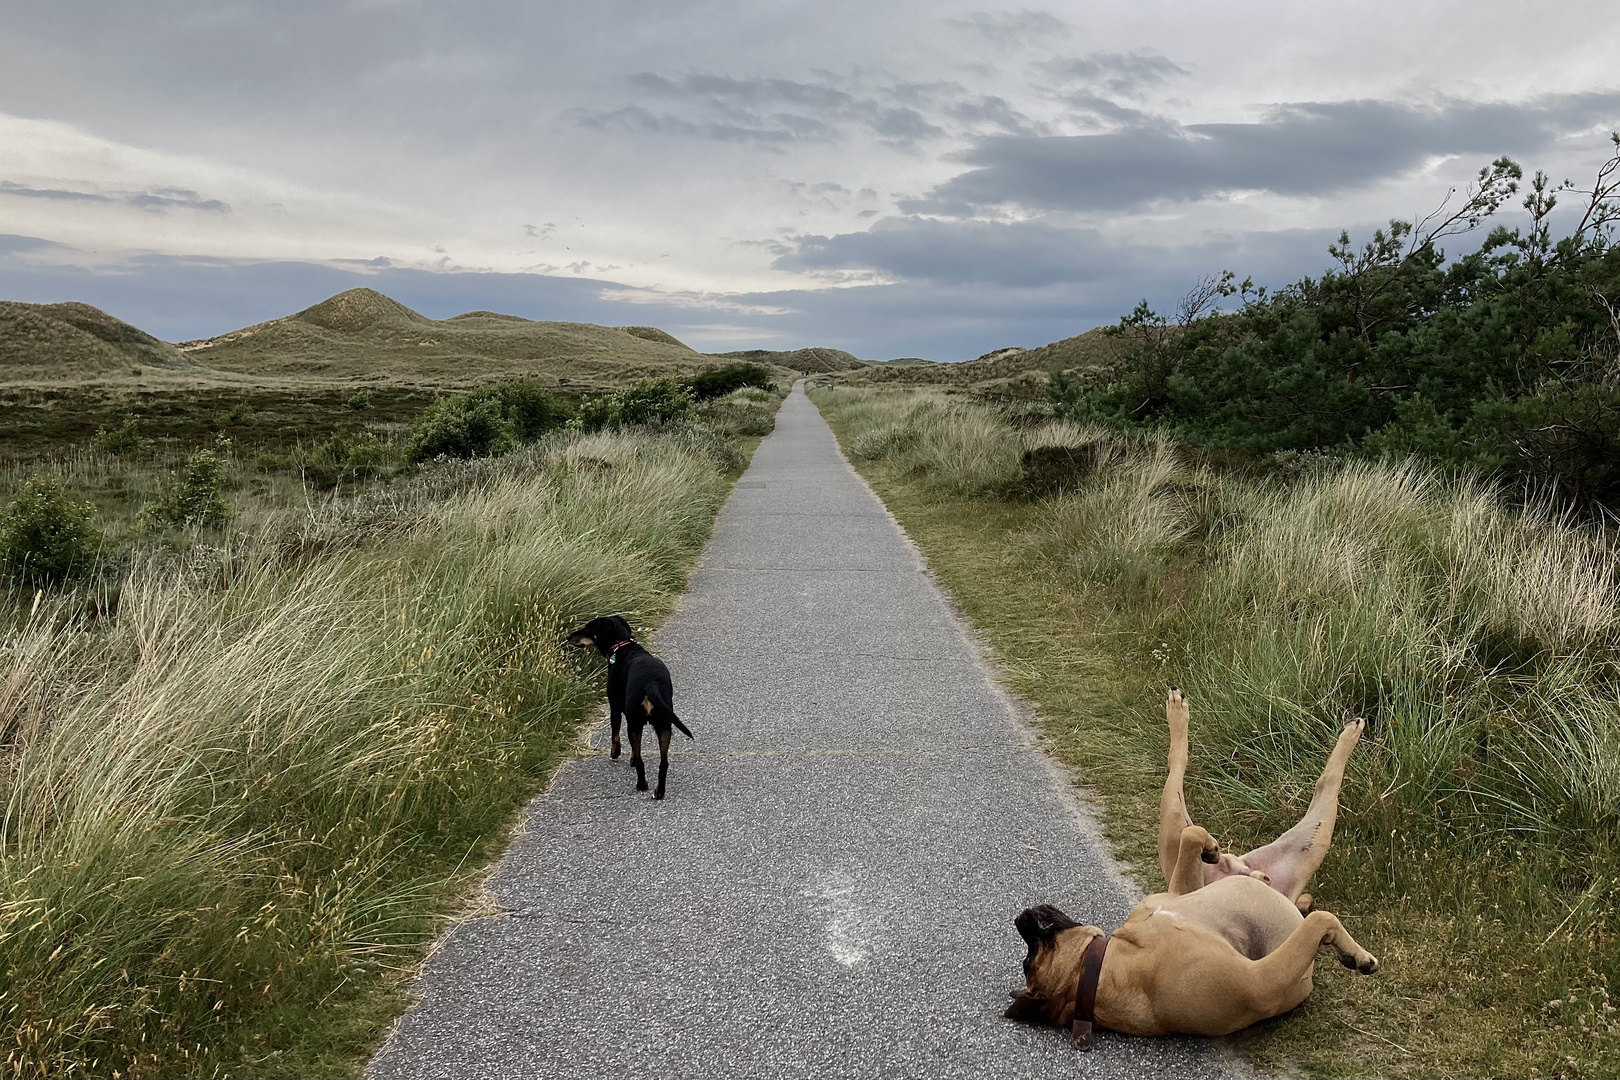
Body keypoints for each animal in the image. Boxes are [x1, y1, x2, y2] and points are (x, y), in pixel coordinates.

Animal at [563, 615, 690, 803]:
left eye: (587, 629)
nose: (568, 636)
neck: (622, 647)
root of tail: (650, 683)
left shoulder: (615, 708)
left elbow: (615, 735)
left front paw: (615, 753)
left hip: (635, 723)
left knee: (639, 760)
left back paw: (641, 785)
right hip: (664, 725)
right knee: (663, 763)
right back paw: (659, 792)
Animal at [1004, 693, 1373, 1049]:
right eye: (1028, 960)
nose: (1022, 915)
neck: (1108, 968)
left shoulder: (1178, 891)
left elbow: (1193, 835)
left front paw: (1209, 846)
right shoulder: (1260, 982)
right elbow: (1322, 920)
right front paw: (1354, 953)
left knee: (1186, 797)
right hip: (1302, 838)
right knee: (1324, 785)